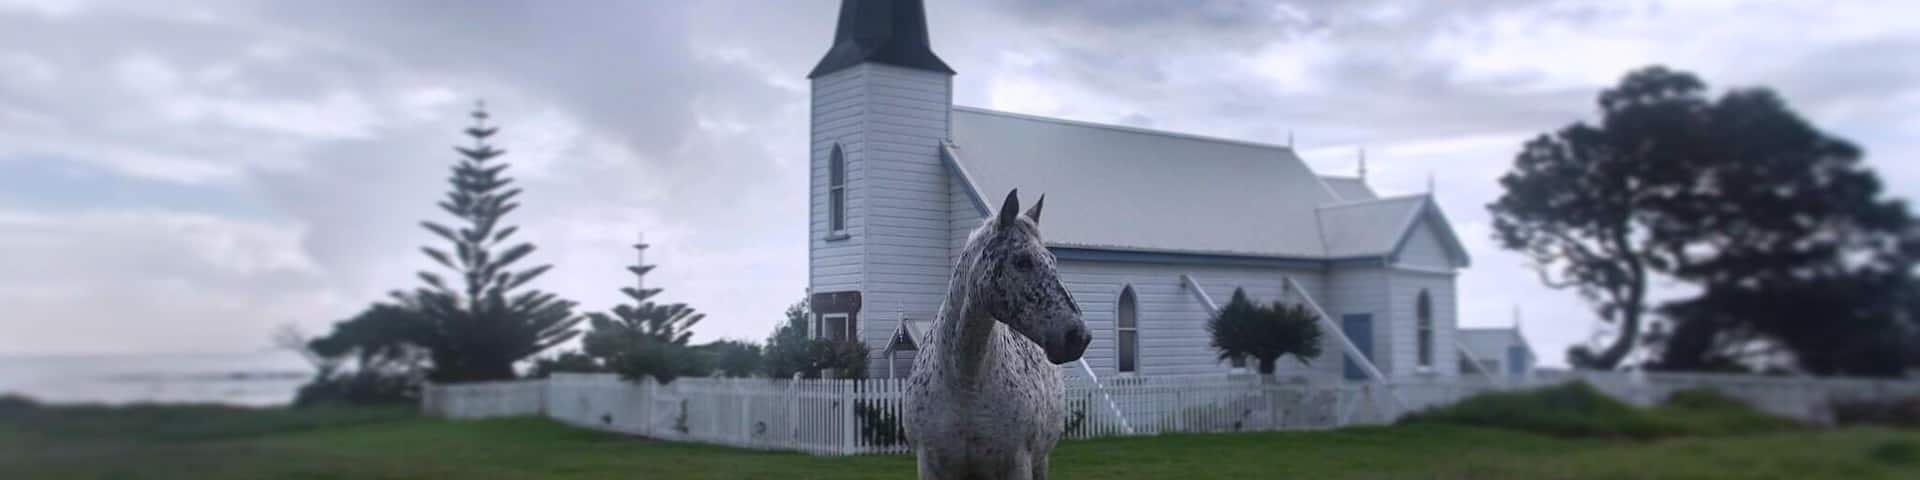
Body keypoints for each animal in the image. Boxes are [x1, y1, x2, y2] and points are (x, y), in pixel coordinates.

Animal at [905, 189, 1092, 480]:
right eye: (1022, 261)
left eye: (1053, 261)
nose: (1078, 336)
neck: (965, 382)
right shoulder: (930, 467)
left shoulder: (1017, 464)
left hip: (1041, 461)